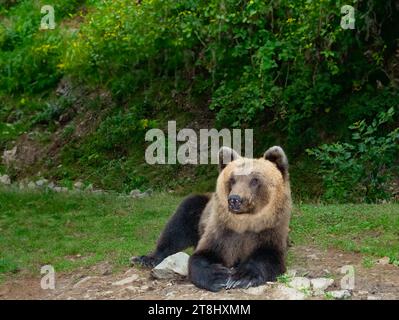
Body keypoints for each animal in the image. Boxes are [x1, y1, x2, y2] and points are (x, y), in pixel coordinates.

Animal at [133, 146, 292, 292]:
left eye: (255, 180)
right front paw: (219, 276)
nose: (235, 199)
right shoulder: (221, 230)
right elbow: (203, 255)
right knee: (178, 225)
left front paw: (241, 277)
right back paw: (147, 258)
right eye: (232, 179)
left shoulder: (270, 231)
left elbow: (269, 257)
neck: (245, 221)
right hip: (199, 208)